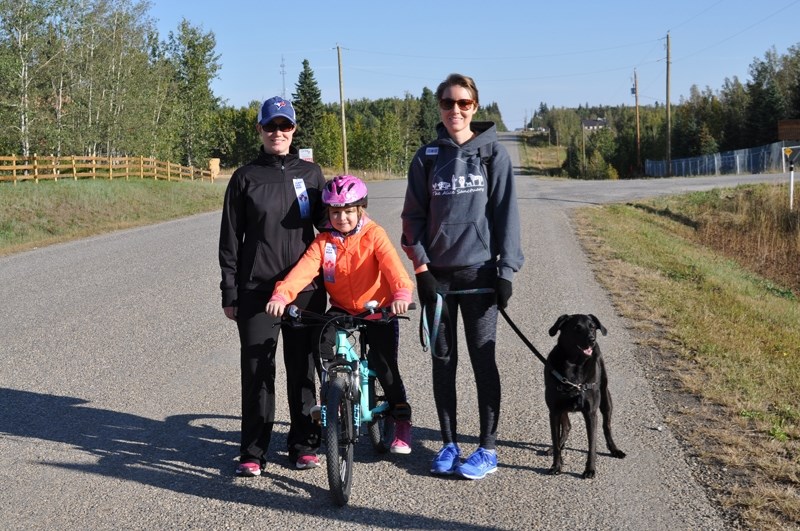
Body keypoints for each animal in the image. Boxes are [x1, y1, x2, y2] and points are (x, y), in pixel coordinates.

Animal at [544, 314, 624, 480]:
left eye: (592, 326)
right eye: (577, 328)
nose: (592, 339)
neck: (574, 365)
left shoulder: (590, 413)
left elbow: (591, 445)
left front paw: (590, 469)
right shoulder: (554, 411)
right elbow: (555, 441)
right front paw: (556, 466)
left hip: (605, 398)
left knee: (606, 426)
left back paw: (614, 449)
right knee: (567, 426)